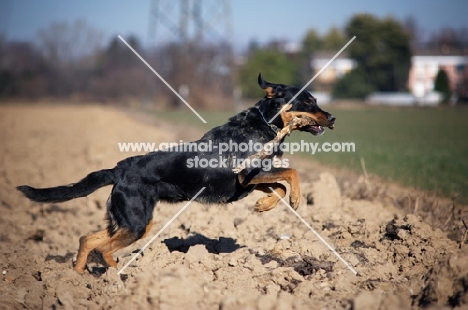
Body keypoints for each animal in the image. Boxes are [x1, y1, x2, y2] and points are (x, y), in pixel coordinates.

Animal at [17, 74, 332, 272]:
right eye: (308, 101)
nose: (333, 117)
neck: (266, 123)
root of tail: (118, 169)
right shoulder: (248, 175)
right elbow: (292, 173)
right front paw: (295, 200)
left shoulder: (252, 179)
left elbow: (279, 184)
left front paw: (264, 205)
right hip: (137, 222)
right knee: (104, 248)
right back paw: (118, 276)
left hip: (127, 220)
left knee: (88, 239)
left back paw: (79, 276)